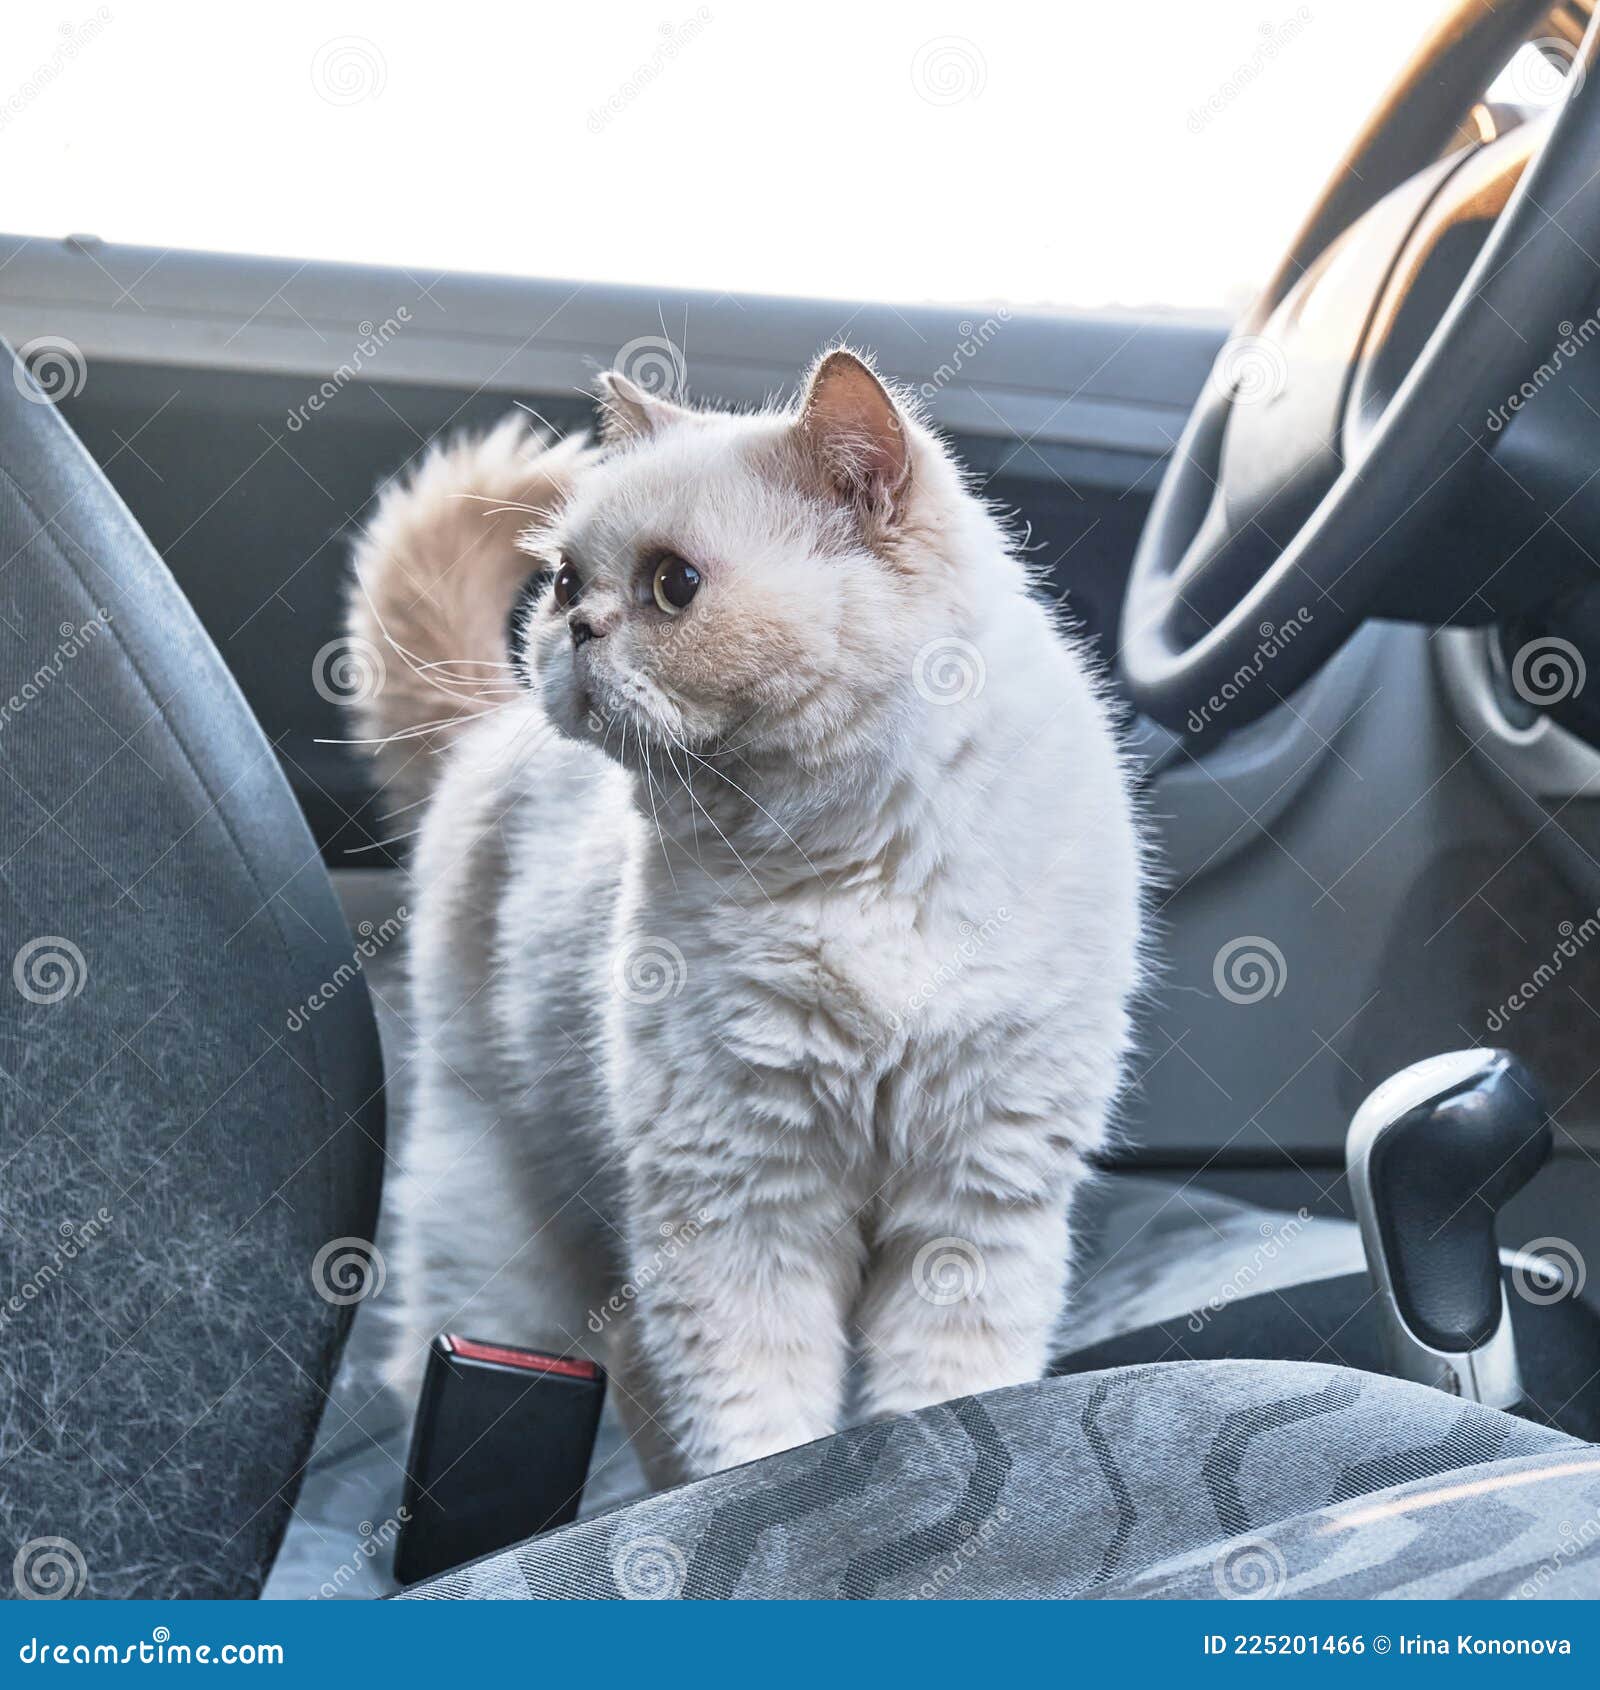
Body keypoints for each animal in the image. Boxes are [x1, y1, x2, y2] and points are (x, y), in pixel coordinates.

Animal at [351, 349, 1148, 1487]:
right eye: (566, 583)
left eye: (672, 585)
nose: (575, 631)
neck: (856, 866)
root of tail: (488, 726)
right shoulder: (736, 1206)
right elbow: (755, 1434)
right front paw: (767, 1497)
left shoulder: (974, 1204)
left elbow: (946, 1395)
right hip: (498, 1224)